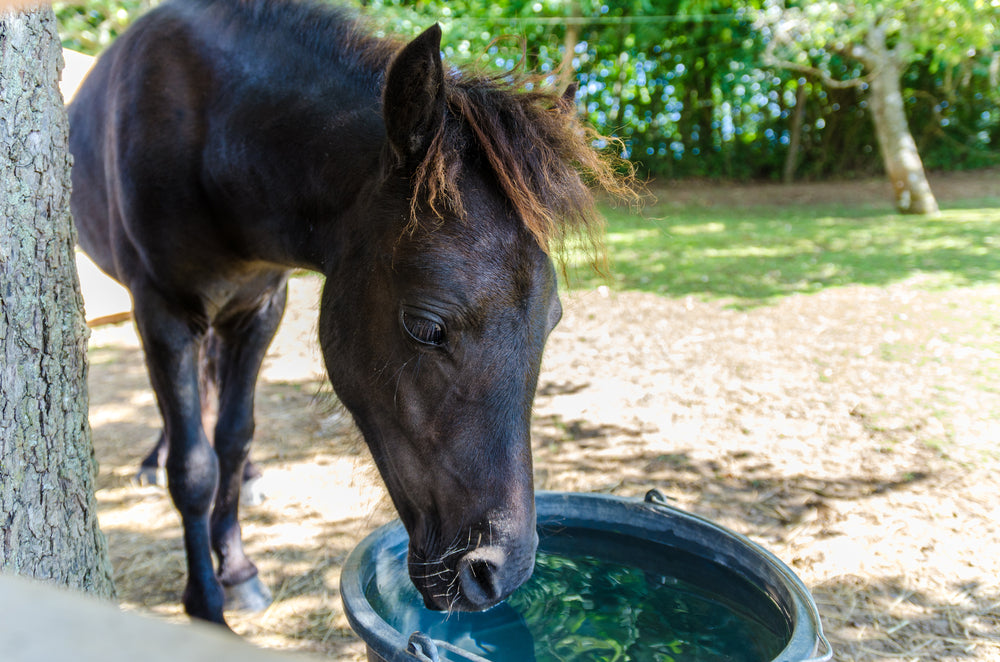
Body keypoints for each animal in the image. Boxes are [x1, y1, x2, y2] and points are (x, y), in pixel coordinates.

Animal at [68, 0, 631, 627]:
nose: (500, 572)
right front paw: (208, 606)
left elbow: (234, 438)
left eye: (551, 320)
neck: (210, 134)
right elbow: (194, 470)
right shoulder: (163, 310)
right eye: (426, 327)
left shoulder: (260, 310)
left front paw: (238, 570)